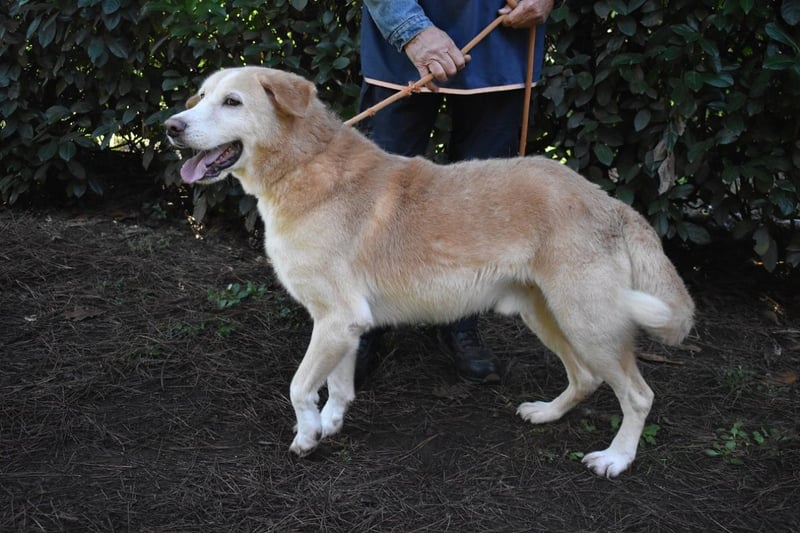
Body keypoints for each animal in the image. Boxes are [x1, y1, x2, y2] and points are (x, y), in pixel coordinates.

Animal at [164, 67, 694, 478]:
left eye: (232, 101)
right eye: (202, 96)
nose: (170, 126)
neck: (304, 166)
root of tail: (611, 203)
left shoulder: (337, 319)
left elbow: (299, 387)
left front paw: (308, 434)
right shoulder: (342, 324)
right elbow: (338, 384)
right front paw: (330, 423)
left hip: (588, 321)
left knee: (638, 395)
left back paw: (617, 459)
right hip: (547, 315)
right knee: (585, 378)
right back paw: (547, 413)